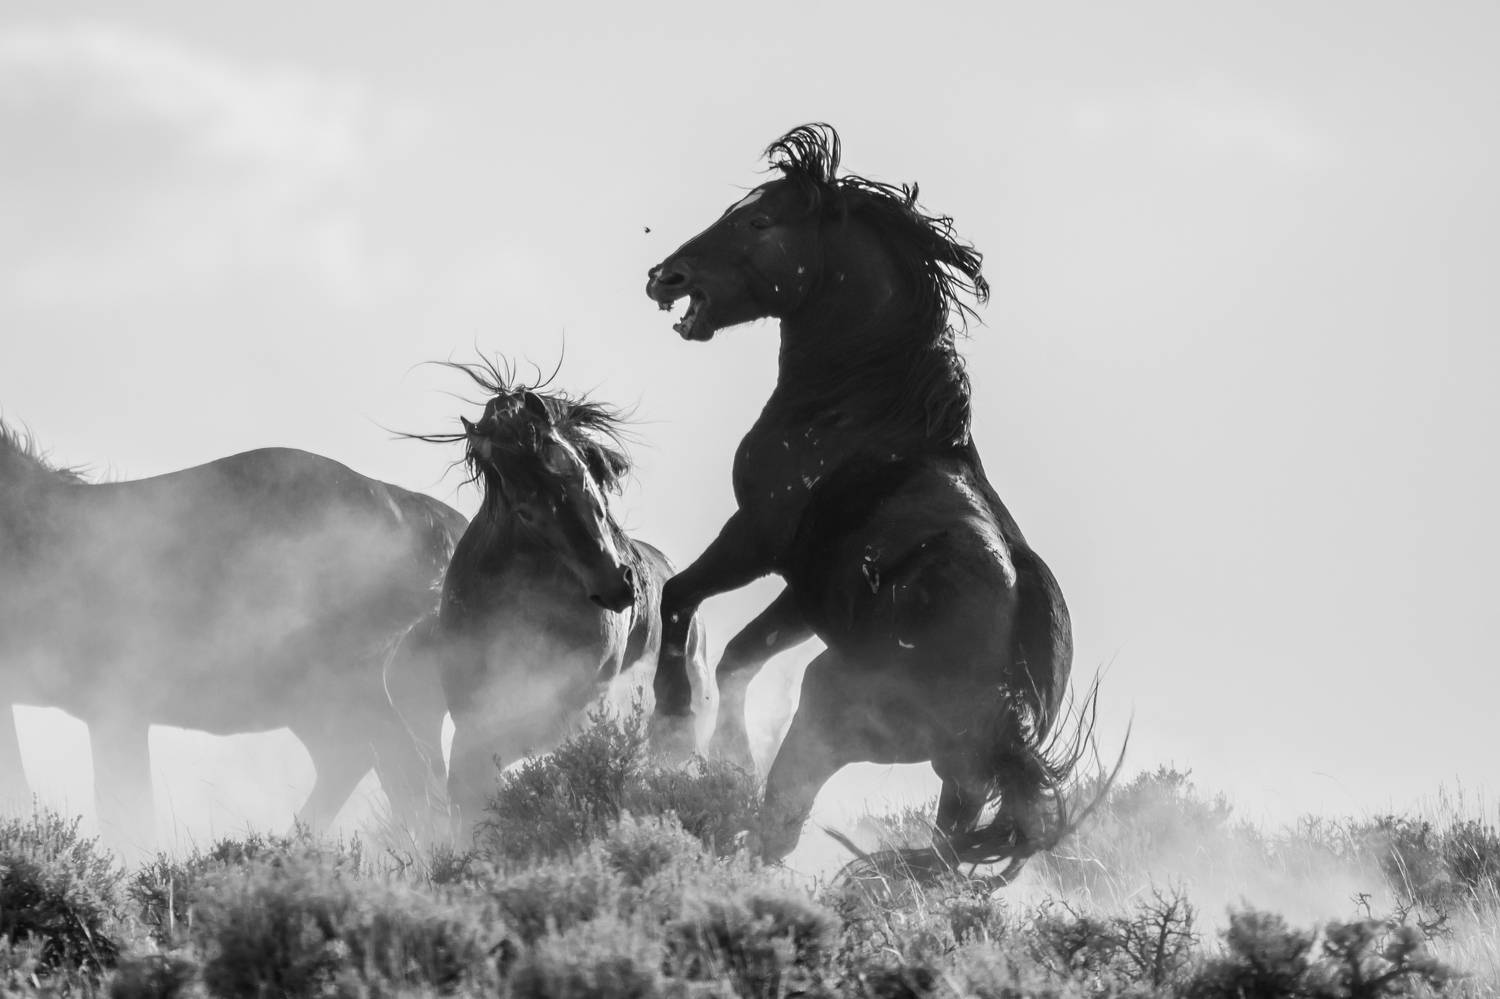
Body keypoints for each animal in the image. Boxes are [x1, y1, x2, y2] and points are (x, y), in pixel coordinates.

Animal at [0, 421, 465, 852]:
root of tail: (425, 516)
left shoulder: (115, 707)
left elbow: (122, 815)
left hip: (342, 684)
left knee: (401, 769)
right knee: (369, 764)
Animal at [644, 124, 1111, 879]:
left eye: (760, 221)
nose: (666, 277)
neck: (860, 412)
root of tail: (1007, 708)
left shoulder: (755, 535)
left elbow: (679, 597)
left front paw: (674, 731)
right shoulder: (804, 590)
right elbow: (739, 656)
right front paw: (724, 751)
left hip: (828, 704)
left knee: (781, 820)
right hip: (956, 781)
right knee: (934, 852)